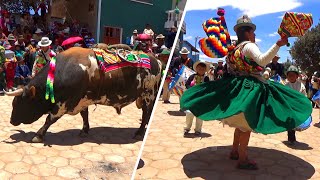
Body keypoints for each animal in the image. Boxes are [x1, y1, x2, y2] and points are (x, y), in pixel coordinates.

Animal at [5, 44, 162, 143]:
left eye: (19, 103)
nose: (11, 121)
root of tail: (156, 60)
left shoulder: (64, 104)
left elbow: (49, 119)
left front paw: (38, 135)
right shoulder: (83, 99)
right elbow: (84, 115)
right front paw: (85, 130)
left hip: (148, 95)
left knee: (146, 113)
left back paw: (139, 132)